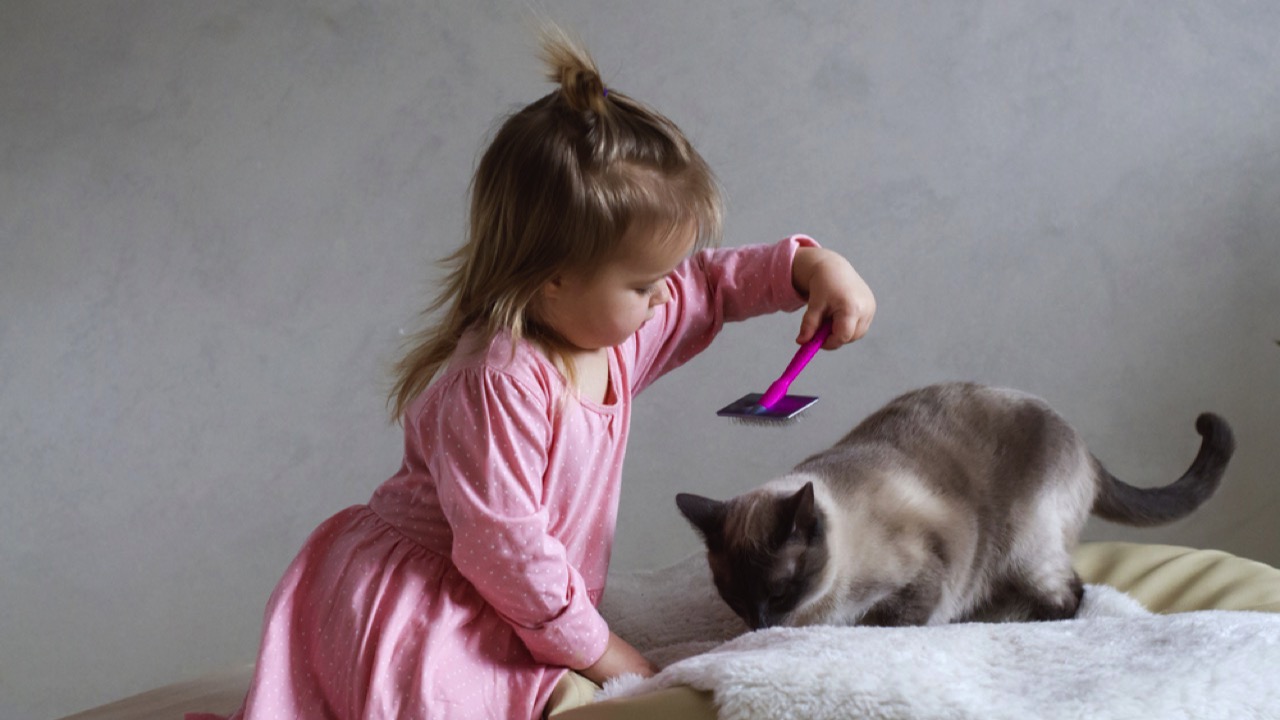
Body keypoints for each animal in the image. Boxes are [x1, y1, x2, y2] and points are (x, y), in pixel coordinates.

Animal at [680, 381, 1228, 627]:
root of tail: (1084, 446)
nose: (760, 626)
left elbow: (893, 624)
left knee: (1072, 594)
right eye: (734, 596)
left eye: (778, 591)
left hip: (1024, 548)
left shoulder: (924, 576)